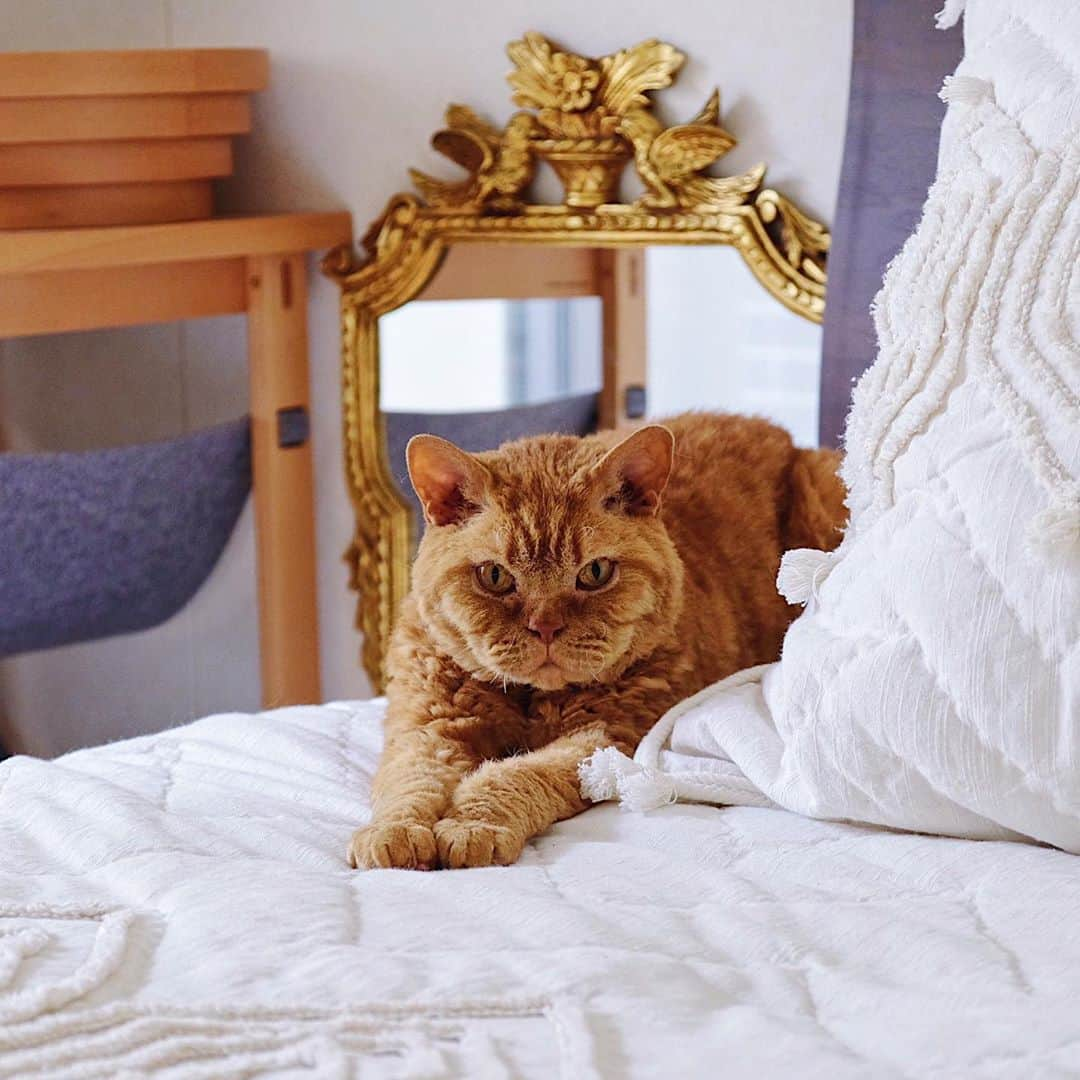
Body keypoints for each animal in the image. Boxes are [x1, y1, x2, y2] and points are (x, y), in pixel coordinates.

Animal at [349, 412, 846, 868]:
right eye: (494, 576)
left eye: (595, 572)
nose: (545, 627)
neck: (530, 701)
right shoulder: (427, 728)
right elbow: (411, 779)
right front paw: (394, 832)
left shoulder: (603, 739)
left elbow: (514, 775)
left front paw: (474, 823)